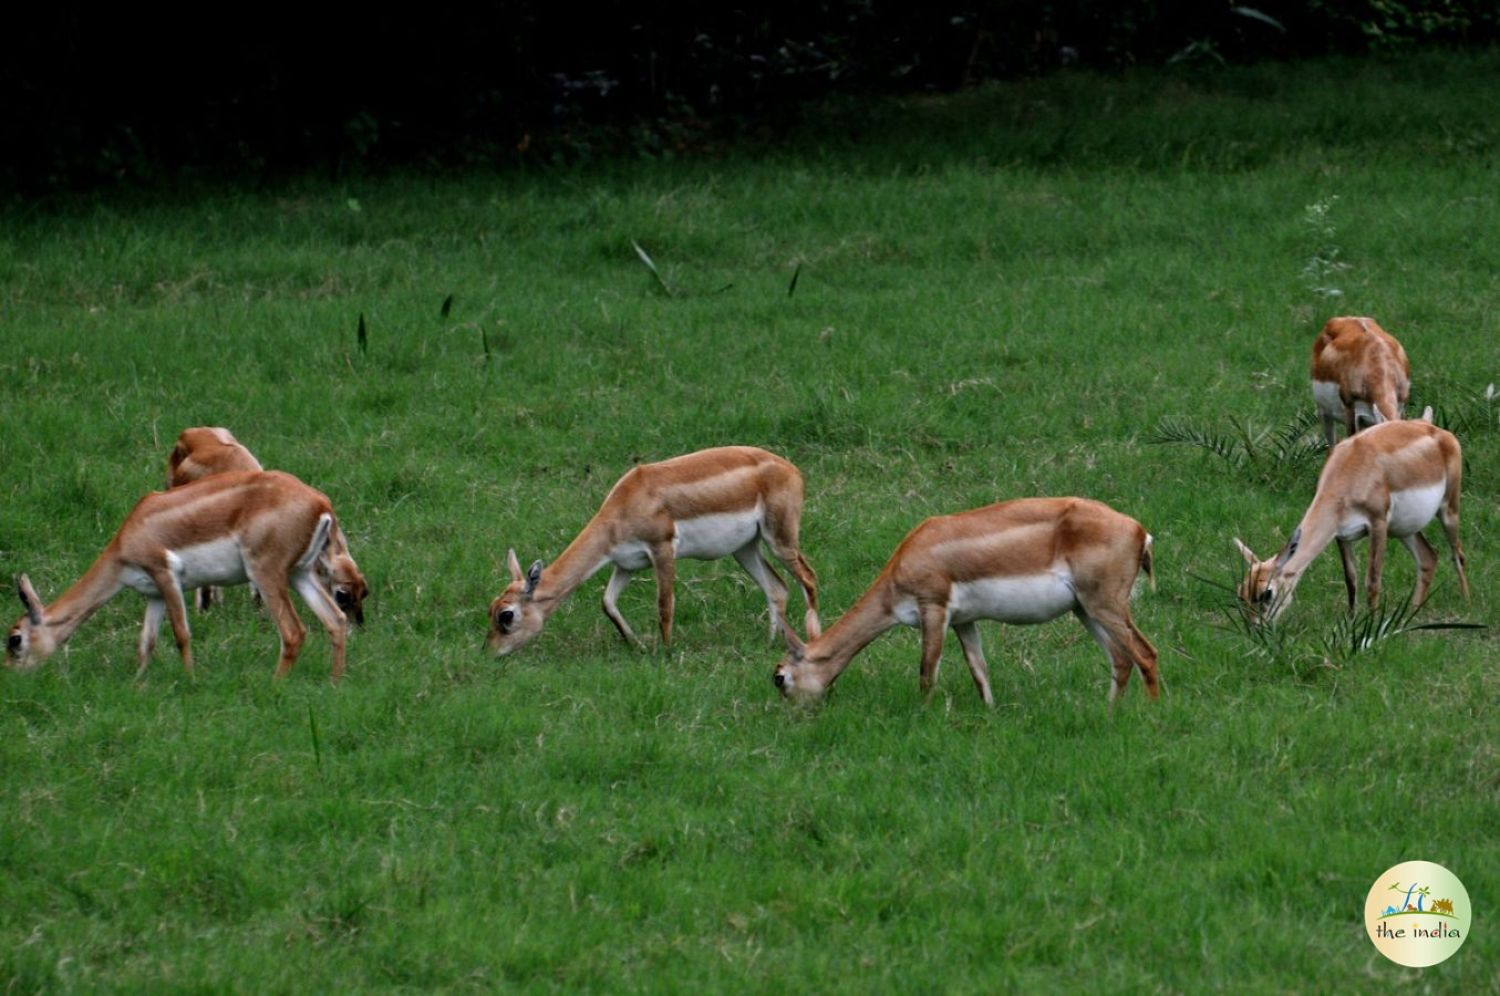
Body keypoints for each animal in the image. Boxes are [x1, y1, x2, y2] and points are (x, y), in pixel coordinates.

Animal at [6, 471, 357, 681]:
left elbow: (181, 634)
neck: (128, 537)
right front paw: (137, 685)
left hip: (267, 574)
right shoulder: (153, 594)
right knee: (336, 619)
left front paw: (190, 681)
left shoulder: (166, 576)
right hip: (300, 574)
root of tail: (320, 502)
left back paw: (275, 685)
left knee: (294, 632)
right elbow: (146, 642)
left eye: (15, 638)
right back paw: (335, 682)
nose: (10, 673)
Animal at [489, 447, 822, 657]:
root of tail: (792, 469)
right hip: (745, 549)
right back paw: (771, 641)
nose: (490, 652)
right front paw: (637, 645)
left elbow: (664, 605)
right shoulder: (626, 564)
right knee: (777, 587)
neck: (625, 503)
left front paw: (666, 651)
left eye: (507, 615)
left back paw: (814, 641)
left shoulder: (662, 549)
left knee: (809, 578)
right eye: (491, 608)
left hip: (780, 539)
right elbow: (607, 602)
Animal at [774, 498, 1158, 708]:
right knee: (1121, 659)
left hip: (1104, 605)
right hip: (1084, 609)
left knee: (1145, 654)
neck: (910, 556)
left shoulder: (933, 608)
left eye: (779, 678)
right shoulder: (963, 621)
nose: (794, 716)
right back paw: (1109, 712)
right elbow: (979, 670)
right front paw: (989, 712)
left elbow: (927, 671)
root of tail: (1139, 530)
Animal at [1236, 417, 1470, 624]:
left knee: (1458, 553)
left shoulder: (1377, 524)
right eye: (1242, 594)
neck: (1350, 469)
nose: (1256, 628)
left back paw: (1465, 601)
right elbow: (1351, 578)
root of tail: (1437, 431)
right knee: (1428, 557)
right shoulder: (1340, 534)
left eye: (1266, 593)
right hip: (1404, 529)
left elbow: (1372, 580)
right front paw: (1351, 619)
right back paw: (1410, 614)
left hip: (1448, 511)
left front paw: (1371, 624)